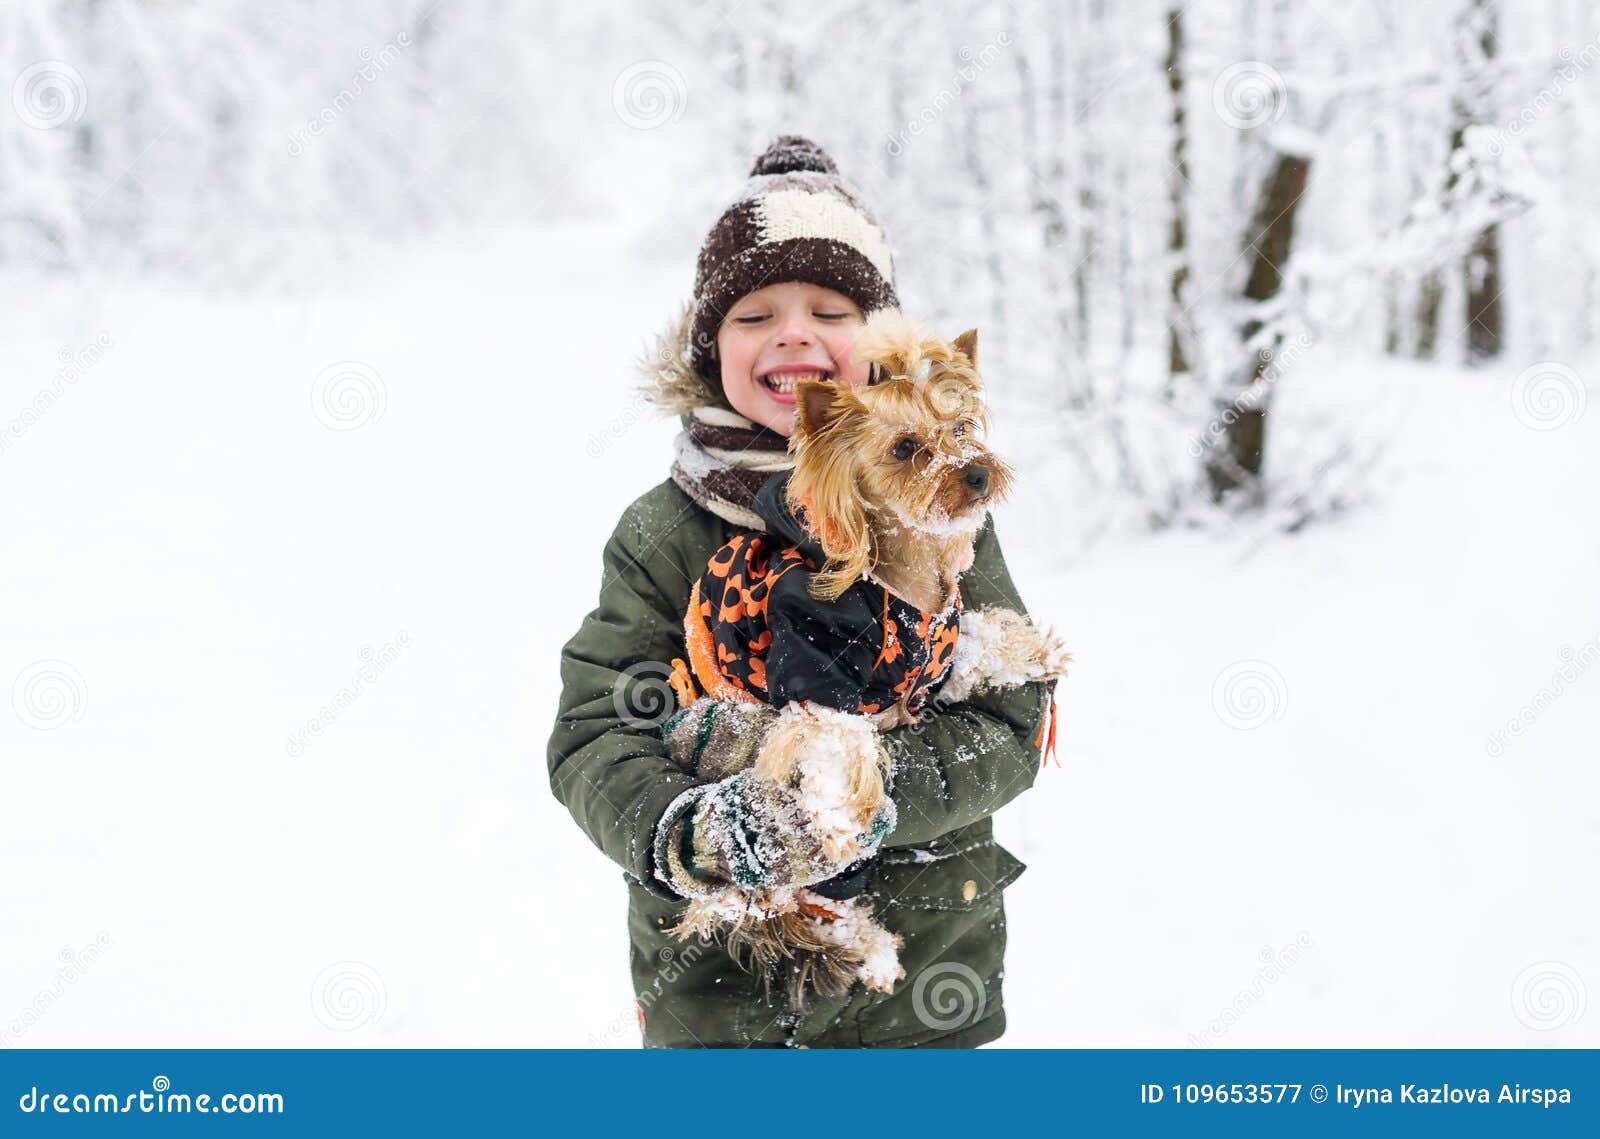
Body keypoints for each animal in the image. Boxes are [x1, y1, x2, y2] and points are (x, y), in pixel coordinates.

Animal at [662, 311, 1075, 1004]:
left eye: (962, 427)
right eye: (906, 448)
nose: (976, 473)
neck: (909, 586)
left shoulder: (941, 645)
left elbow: (978, 639)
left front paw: (1035, 648)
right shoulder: (813, 677)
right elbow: (838, 738)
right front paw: (836, 814)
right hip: (784, 886)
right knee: (797, 904)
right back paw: (869, 947)